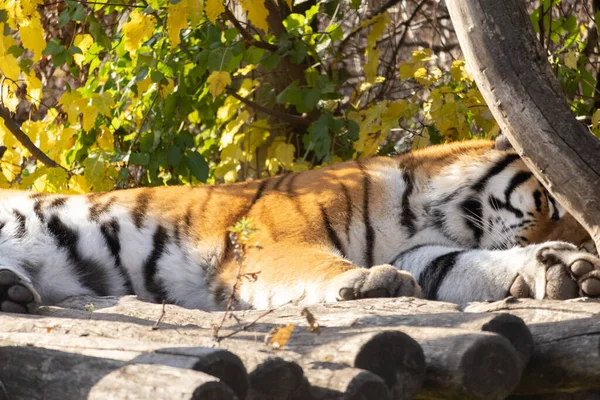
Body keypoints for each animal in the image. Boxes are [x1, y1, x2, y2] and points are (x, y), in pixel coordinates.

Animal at [1, 139, 600, 314]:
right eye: (551, 204)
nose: (574, 240)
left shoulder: (428, 252)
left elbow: (468, 265)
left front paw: (566, 269)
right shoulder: (275, 242)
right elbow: (318, 265)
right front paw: (368, 282)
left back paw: (12, 288)